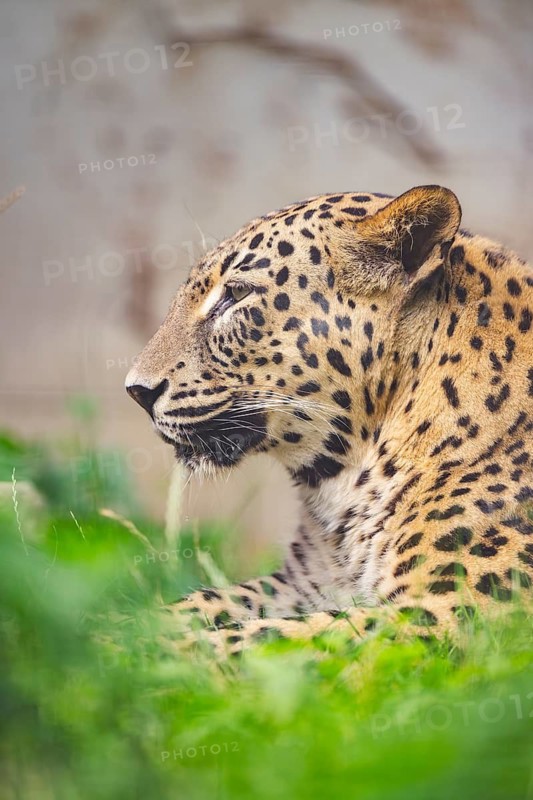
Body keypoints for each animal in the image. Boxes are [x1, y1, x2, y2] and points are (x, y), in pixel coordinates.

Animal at [126, 185, 533, 655]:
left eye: (236, 295)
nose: (136, 391)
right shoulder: (303, 584)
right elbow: (204, 602)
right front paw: (111, 629)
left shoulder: (454, 613)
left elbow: (267, 638)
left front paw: (141, 655)